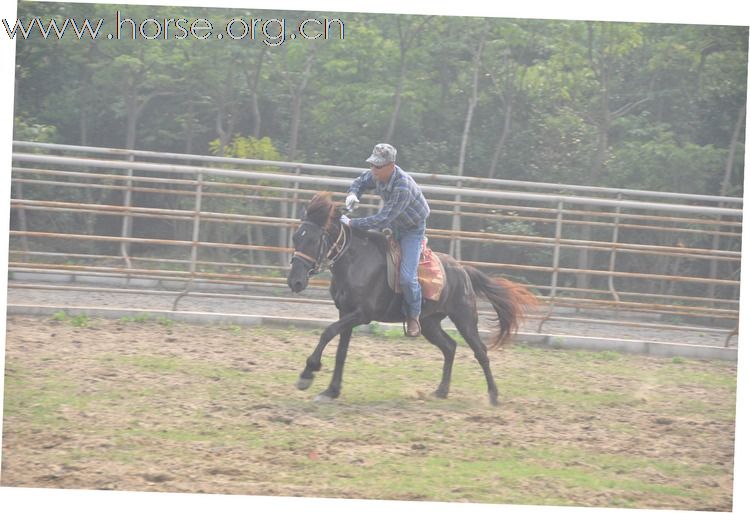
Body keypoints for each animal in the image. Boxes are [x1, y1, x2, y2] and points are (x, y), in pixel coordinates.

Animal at [284, 192, 536, 404]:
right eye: (296, 237)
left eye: (313, 240)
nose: (295, 282)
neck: (355, 261)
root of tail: (463, 270)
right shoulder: (345, 312)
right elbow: (341, 351)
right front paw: (331, 391)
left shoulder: (362, 314)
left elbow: (327, 333)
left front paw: (307, 374)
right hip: (429, 323)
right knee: (450, 347)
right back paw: (441, 391)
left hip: (465, 318)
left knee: (480, 352)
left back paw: (493, 395)